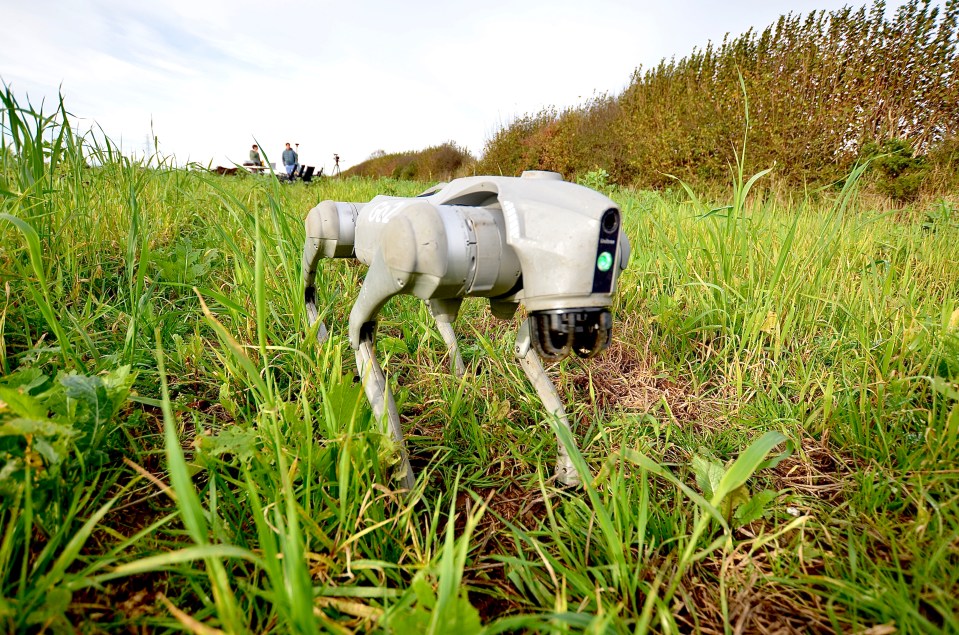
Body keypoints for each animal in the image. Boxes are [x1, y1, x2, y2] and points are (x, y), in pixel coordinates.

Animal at [302, 171, 632, 490]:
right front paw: (407, 494)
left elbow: (523, 354)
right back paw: (318, 335)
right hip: (331, 229)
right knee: (313, 266)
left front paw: (570, 471)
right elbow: (360, 332)